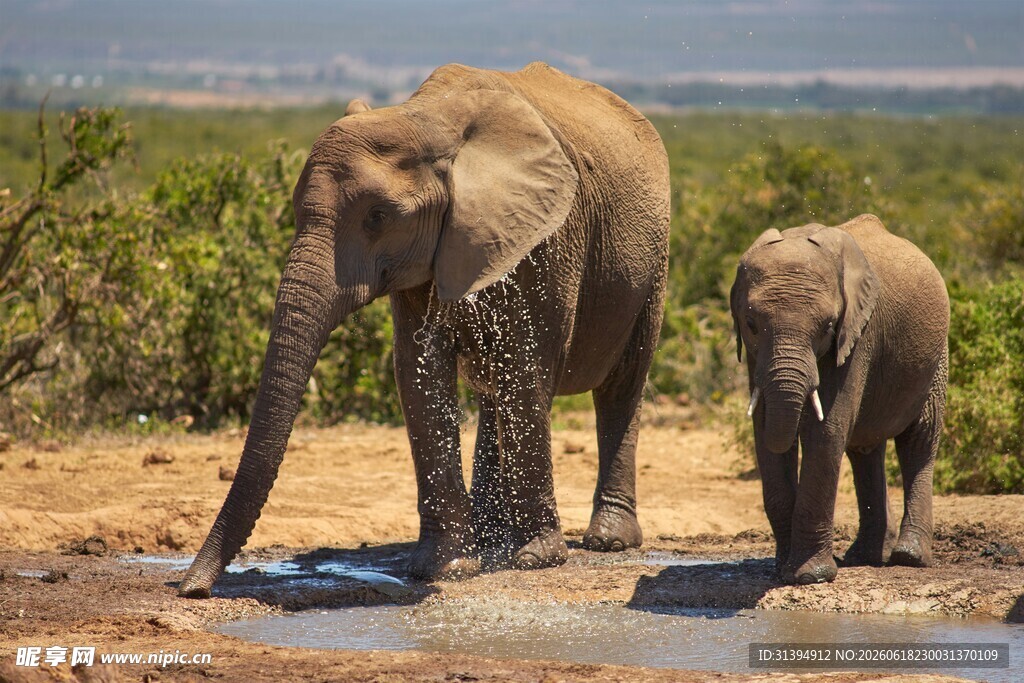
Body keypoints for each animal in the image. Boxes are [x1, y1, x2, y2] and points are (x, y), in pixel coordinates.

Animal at [177, 62, 670, 598]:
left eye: (378, 217)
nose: (191, 589)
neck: (428, 119)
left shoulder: (549, 237)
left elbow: (526, 366)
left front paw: (537, 560)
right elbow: (418, 370)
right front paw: (446, 568)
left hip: (653, 260)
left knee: (622, 385)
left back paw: (608, 541)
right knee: (494, 390)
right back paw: (491, 540)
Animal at [730, 214, 949, 585]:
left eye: (828, 326)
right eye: (750, 324)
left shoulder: (857, 335)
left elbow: (826, 430)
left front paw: (809, 576)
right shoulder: (755, 359)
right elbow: (765, 432)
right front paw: (782, 571)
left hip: (937, 357)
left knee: (919, 440)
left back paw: (909, 557)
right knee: (864, 450)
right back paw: (865, 556)